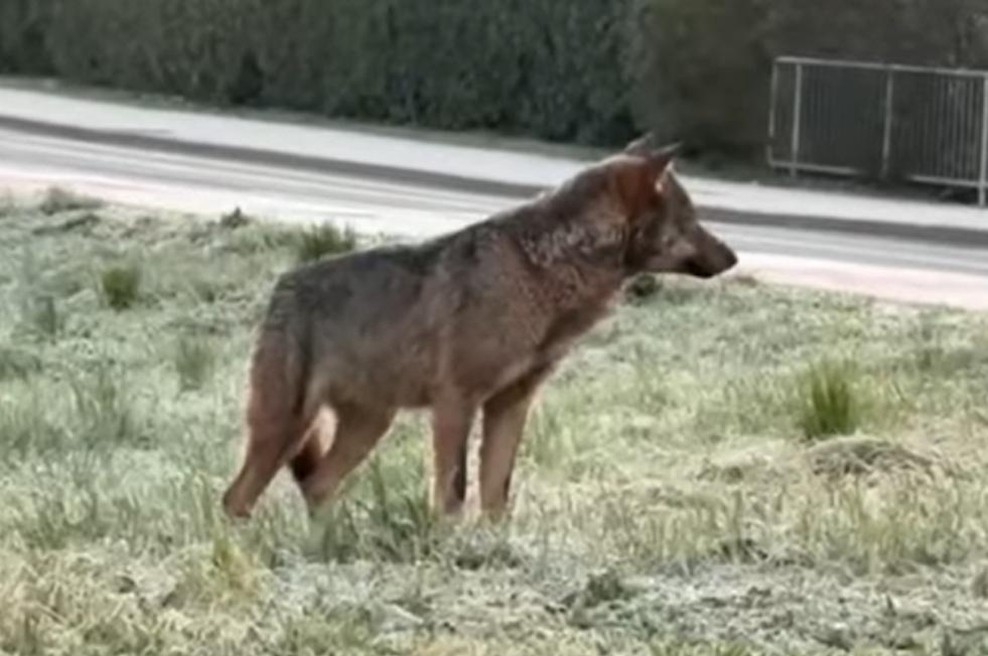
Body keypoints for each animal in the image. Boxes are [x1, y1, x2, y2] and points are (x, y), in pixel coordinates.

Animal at [220, 135, 736, 524]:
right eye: (691, 219)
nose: (733, 257)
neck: (541, 271)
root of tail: (282, 286)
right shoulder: (456, 402)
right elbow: (454, 492)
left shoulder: (511, 403)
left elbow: (496, 492)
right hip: (286, 428)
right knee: (236, 497)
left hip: (366, 426)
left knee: (316, 487)